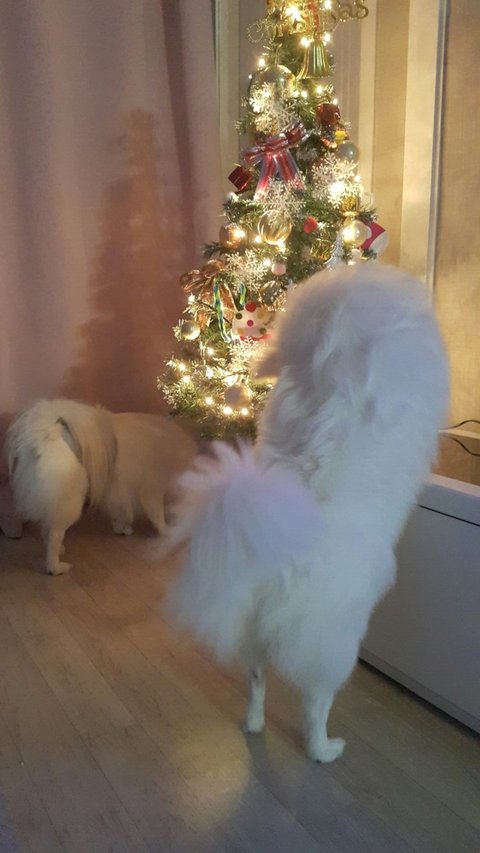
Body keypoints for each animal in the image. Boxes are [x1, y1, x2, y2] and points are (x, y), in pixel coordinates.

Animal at [5, 400, 196, 575]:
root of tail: (46, 433)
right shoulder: (151, 491)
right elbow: (157, 515)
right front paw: (168, 532)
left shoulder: (119, 492)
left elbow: (122, 514)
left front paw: (123, 529)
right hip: (71, 504)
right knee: (53, 535)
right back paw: (56, 567)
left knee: (47, 529)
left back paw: (60, 551)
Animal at [165, 264, 449, 763]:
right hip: (333, 646)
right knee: (314, 706)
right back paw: (326, 750)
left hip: (256, 636)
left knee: (256, 683)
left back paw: (253, 725)